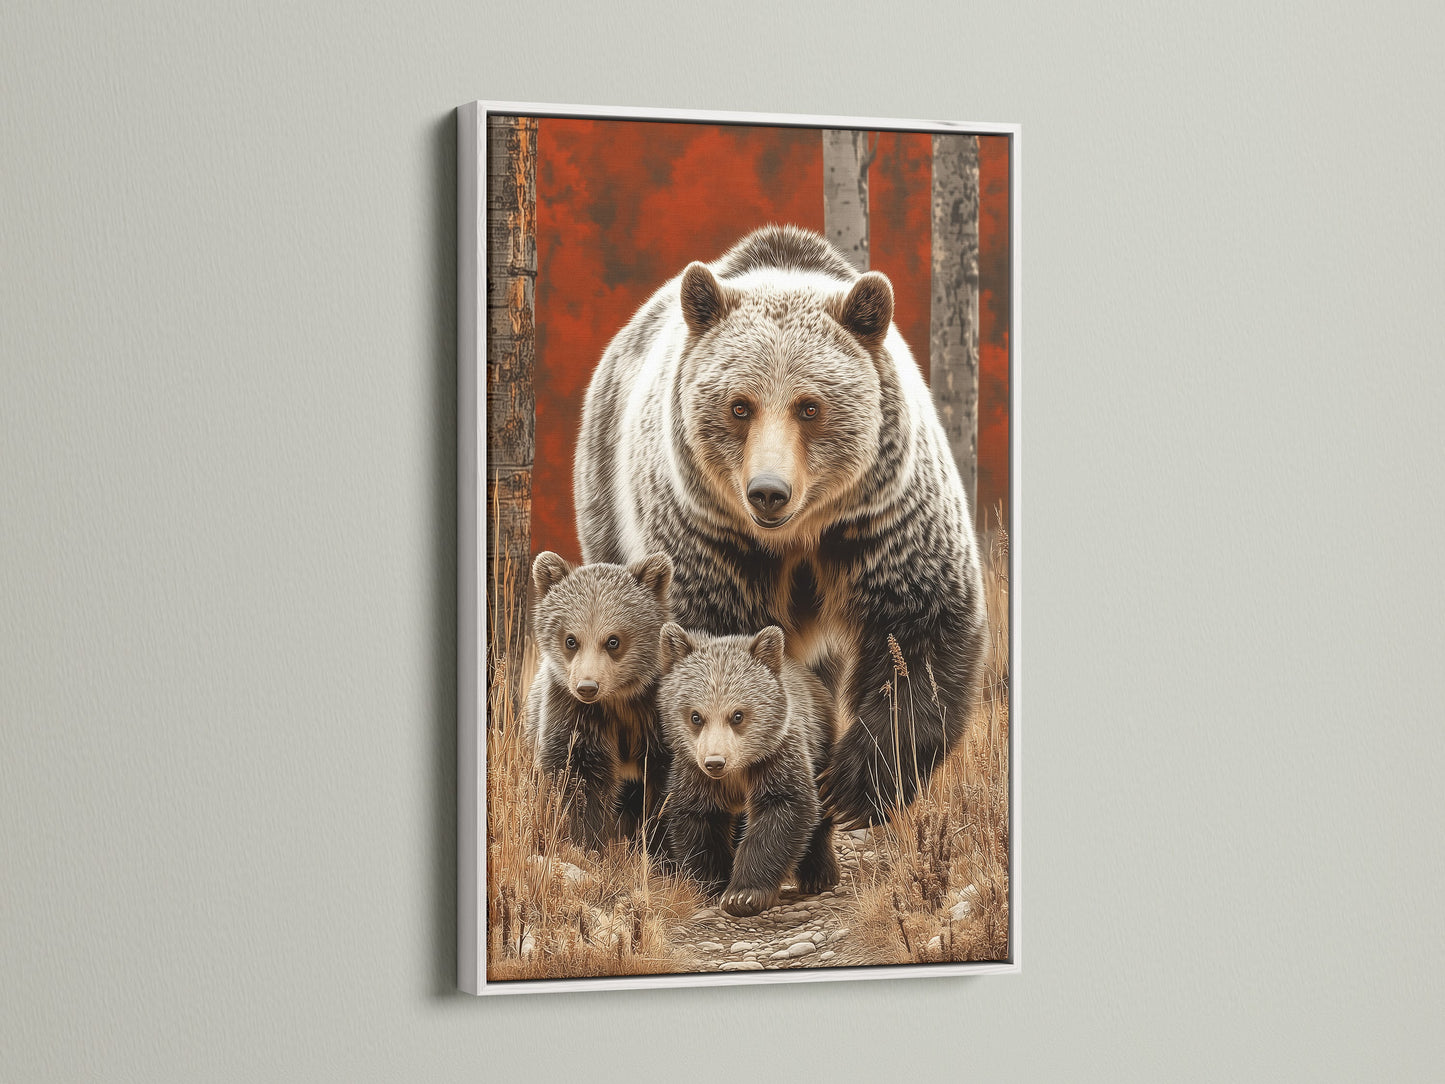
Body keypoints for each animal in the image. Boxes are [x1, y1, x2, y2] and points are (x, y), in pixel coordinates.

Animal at [526, 550, 674, 852]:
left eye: (613, 641)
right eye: (571, 640)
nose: (587, 687)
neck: (619, 700)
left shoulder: (656, 718)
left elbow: (667, 791)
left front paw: (659, 848)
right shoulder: (574, 714)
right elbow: (577, 778)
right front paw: (586, 841)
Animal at [574, 224, 988, 829]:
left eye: (809, 407)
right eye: (739, 406)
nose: (768, 491)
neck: (795, 538)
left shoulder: (882, 518)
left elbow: (922, 628)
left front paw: (851, 788)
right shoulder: (710, 537)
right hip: (608, 502)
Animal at [656, 622, 838, 917]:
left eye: (737, 715)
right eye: (696, 716)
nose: (715, 762)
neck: (737, 773)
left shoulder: (776, 758)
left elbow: (782, 812)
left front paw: (743, 894)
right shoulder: (694, 774)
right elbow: (698, 822)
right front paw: (711, 886)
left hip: (821, 743)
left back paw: (818, 875)